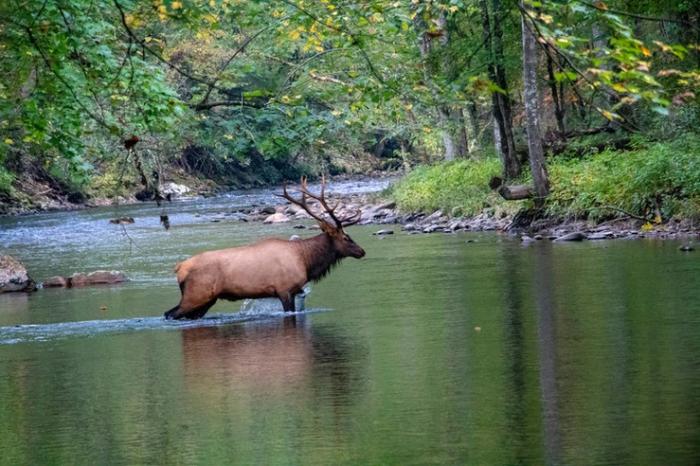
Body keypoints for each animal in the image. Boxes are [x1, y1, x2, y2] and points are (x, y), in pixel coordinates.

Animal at [165, 178, 366, 320]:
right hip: (195, 295)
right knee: (170, 314)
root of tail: (179, 268)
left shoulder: (294, 291)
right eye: (346, 238)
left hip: (206, 300)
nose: (362, 251)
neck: (306, 260)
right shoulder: (284, 289)